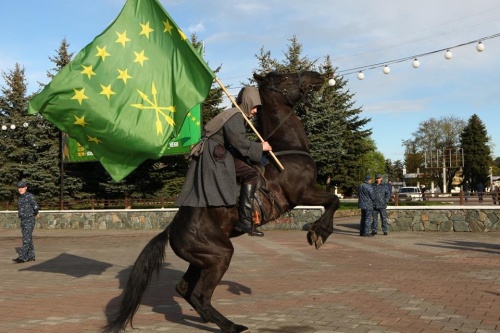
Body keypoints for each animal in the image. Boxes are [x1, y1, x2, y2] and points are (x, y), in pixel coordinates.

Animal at [104, 71, 342, 332]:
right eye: (286, 78)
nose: (316, 76)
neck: (285, 150)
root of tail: (170, 229)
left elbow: (333, 201)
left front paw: (318, 232)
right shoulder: (301, 194)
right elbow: (333, 201)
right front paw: (318, 234)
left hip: (201, 261)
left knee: (185, 289)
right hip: (220, 256)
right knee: (199, 295)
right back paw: (231, 326)